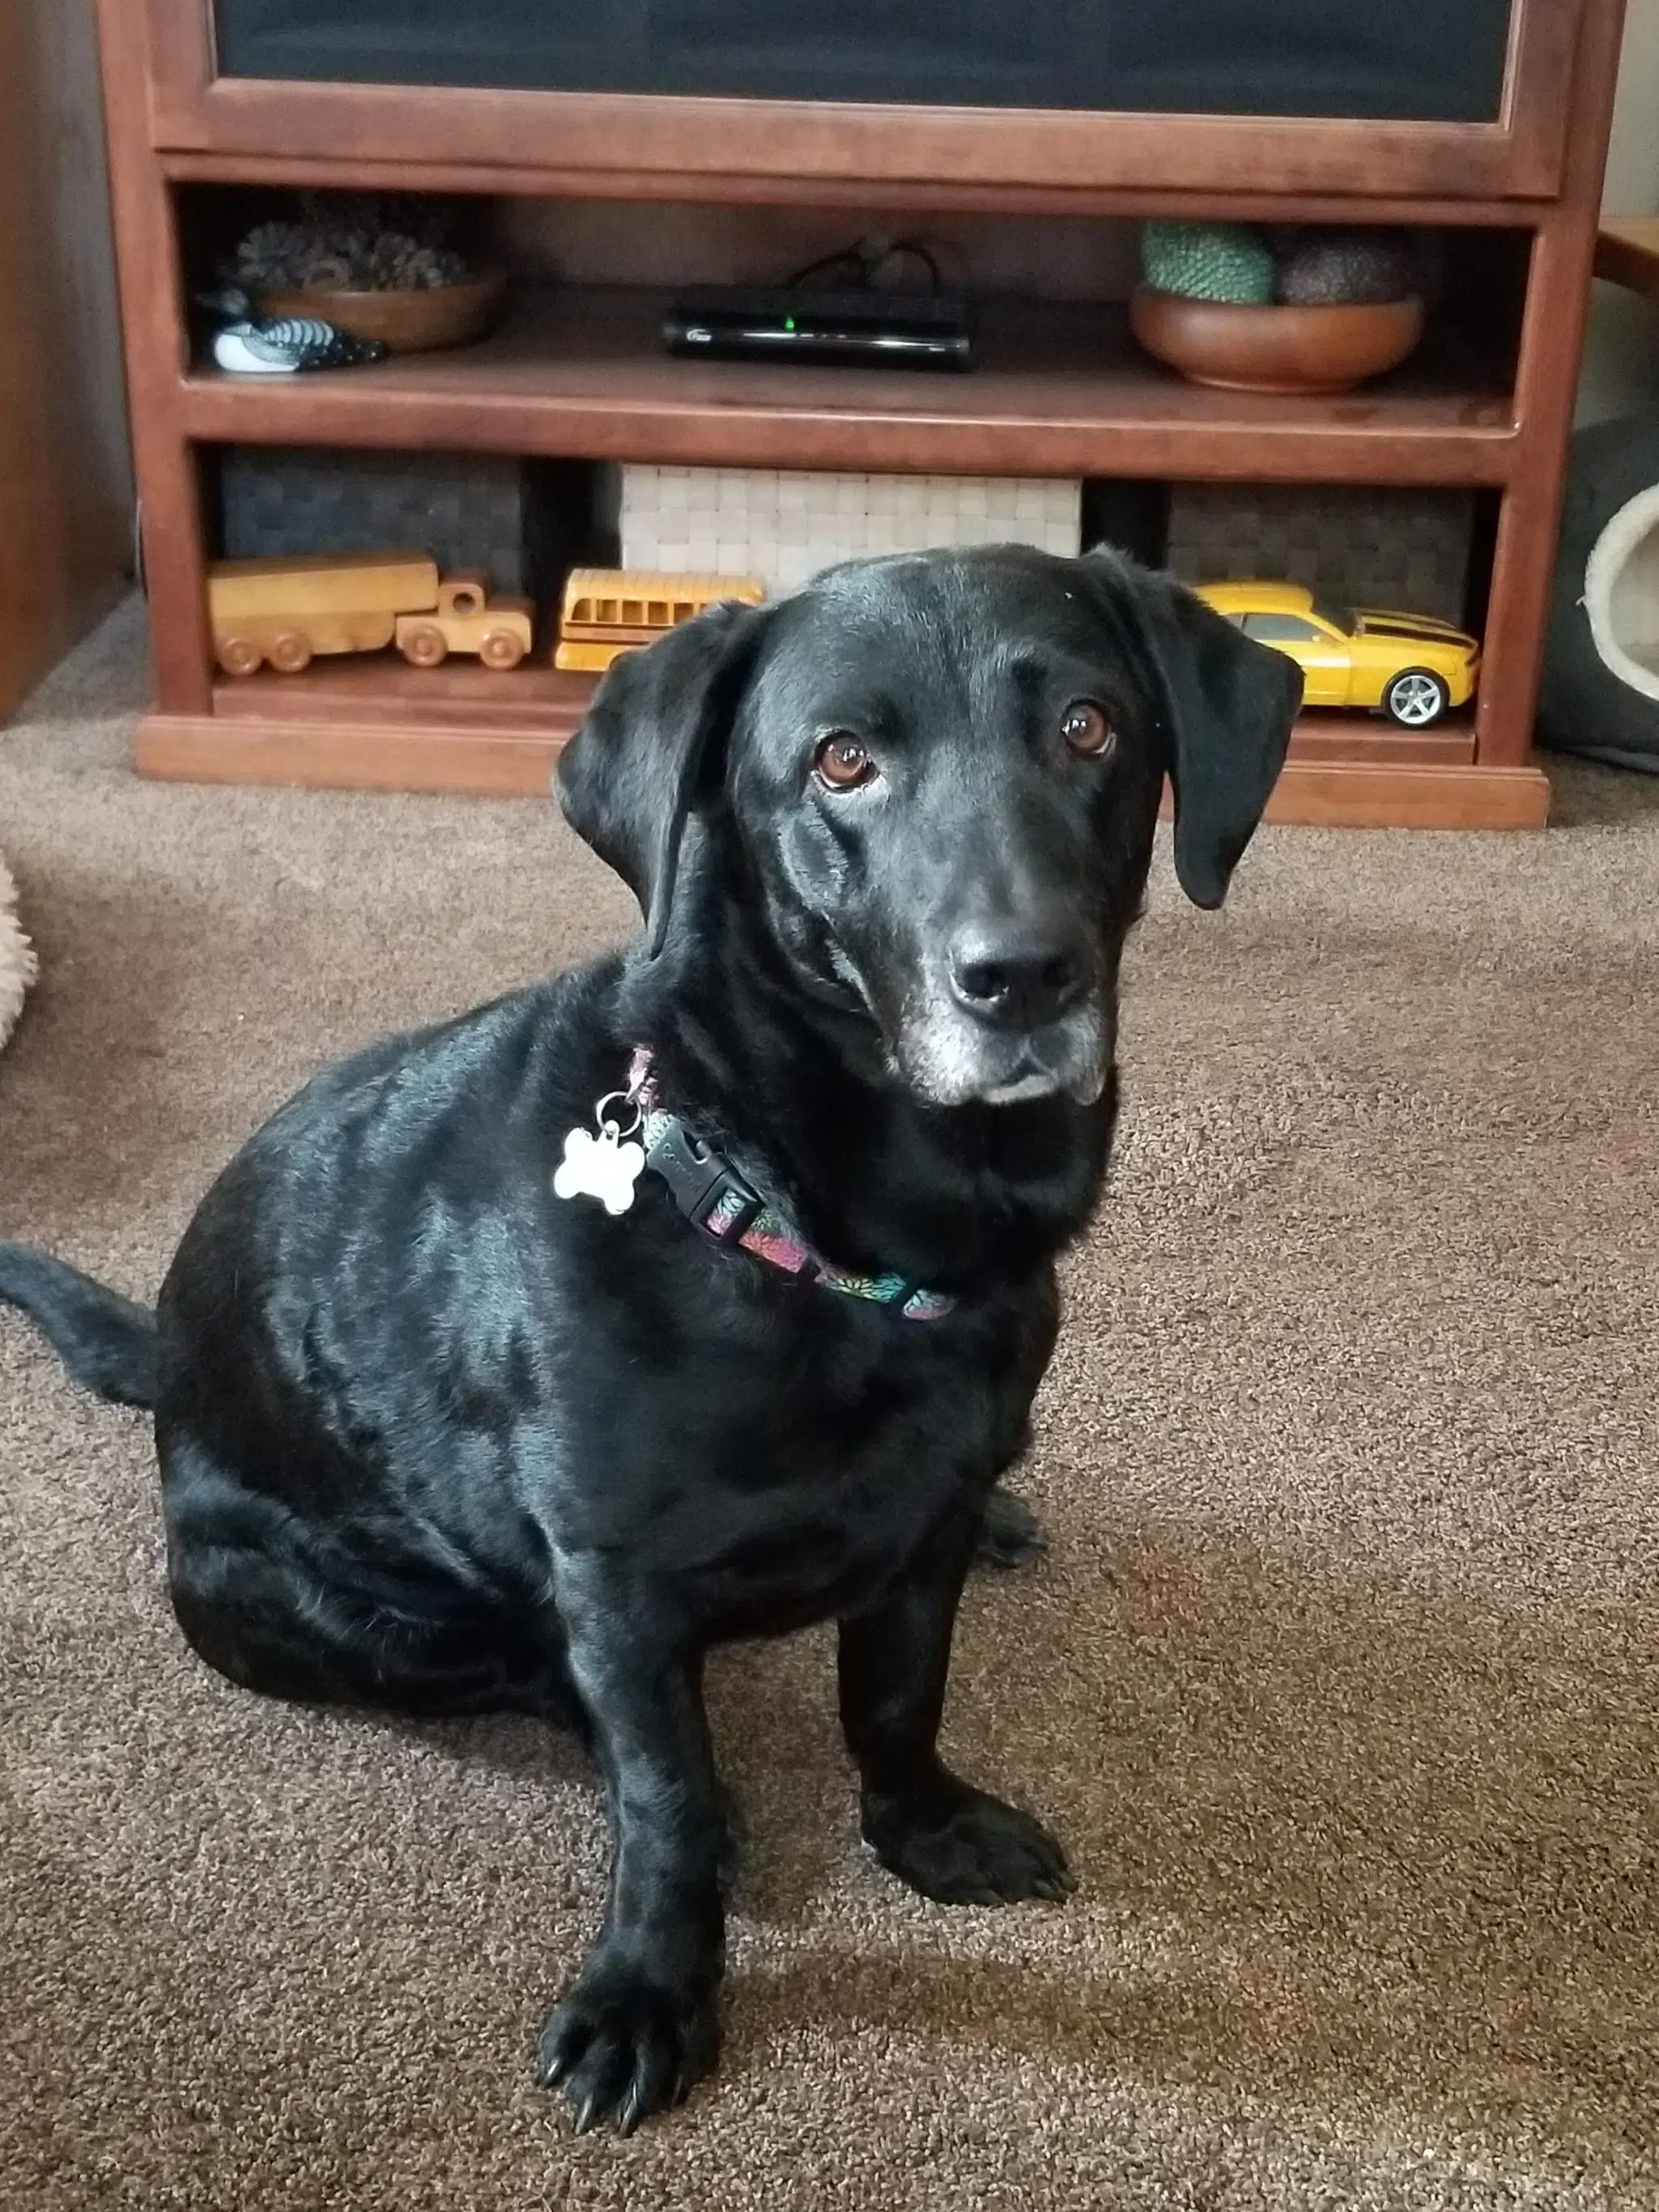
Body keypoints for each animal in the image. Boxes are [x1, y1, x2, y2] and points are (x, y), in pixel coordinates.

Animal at [0, 544, 1300, 2132]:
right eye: (841, 759)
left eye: (1088, 728)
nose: (1021, 977)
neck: (816, 1224)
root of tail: (173, 1367)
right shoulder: (617, 1583)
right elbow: (662, 1796)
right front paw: (649, 1991)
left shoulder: (919, 1535)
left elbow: (896, 1696)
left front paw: (922, 1827)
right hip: (304, 1613)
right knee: (536, 1676)